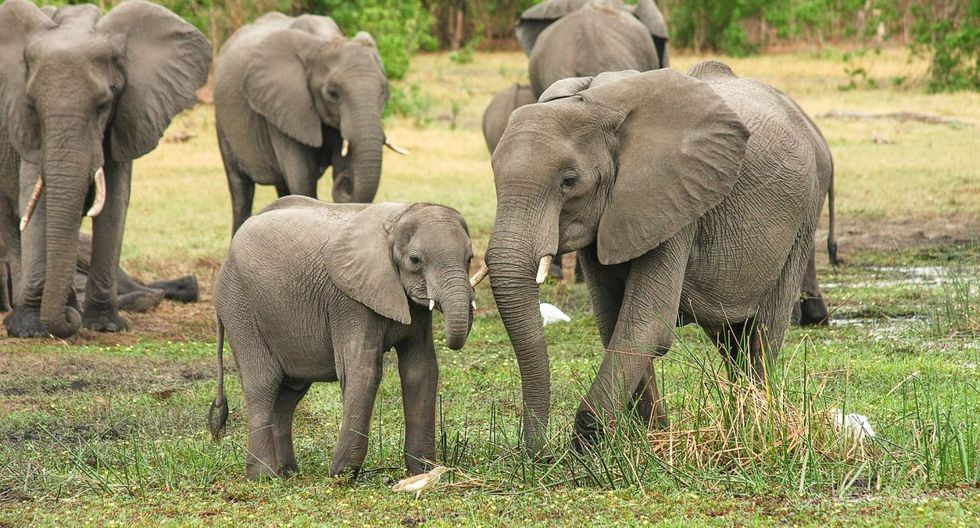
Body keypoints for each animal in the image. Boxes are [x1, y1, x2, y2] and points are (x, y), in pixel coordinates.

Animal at [0, 0, 211, 338]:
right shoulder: (24, 128)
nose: (68, 321)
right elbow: (37, 200)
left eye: (103, 105)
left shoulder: (127, 115)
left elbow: (114, 204)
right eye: (32, 105)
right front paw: (28, 329)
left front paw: (105, 325)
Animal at [208, 196, 485, 479]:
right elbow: (363, 370)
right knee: (264, 383)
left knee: (289, 393)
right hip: (239, 306)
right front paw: (342, 474)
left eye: (469, 258)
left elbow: (421, 370)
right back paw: (264, 475)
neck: (397, 219)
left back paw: (288, 473)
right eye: (415, 260)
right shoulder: (349, 300)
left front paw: (423, 471)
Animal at [215, 12, 407, 235]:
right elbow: (301, 177)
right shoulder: (285, 106)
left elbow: (340, 164)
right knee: (241, 189)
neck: (325, 41)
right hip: (222, 122)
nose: (346, 181)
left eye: (384, 91)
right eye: (332, 94)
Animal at [485, 62, 823, 455]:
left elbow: (646, 324)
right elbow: (614, 322)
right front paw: (651, 438)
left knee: (762, 333)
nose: (539, 455)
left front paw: (588, 444)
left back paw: (755, 425)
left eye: (569, 181)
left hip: (802, 220)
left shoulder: (675, 202)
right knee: (730, 340)